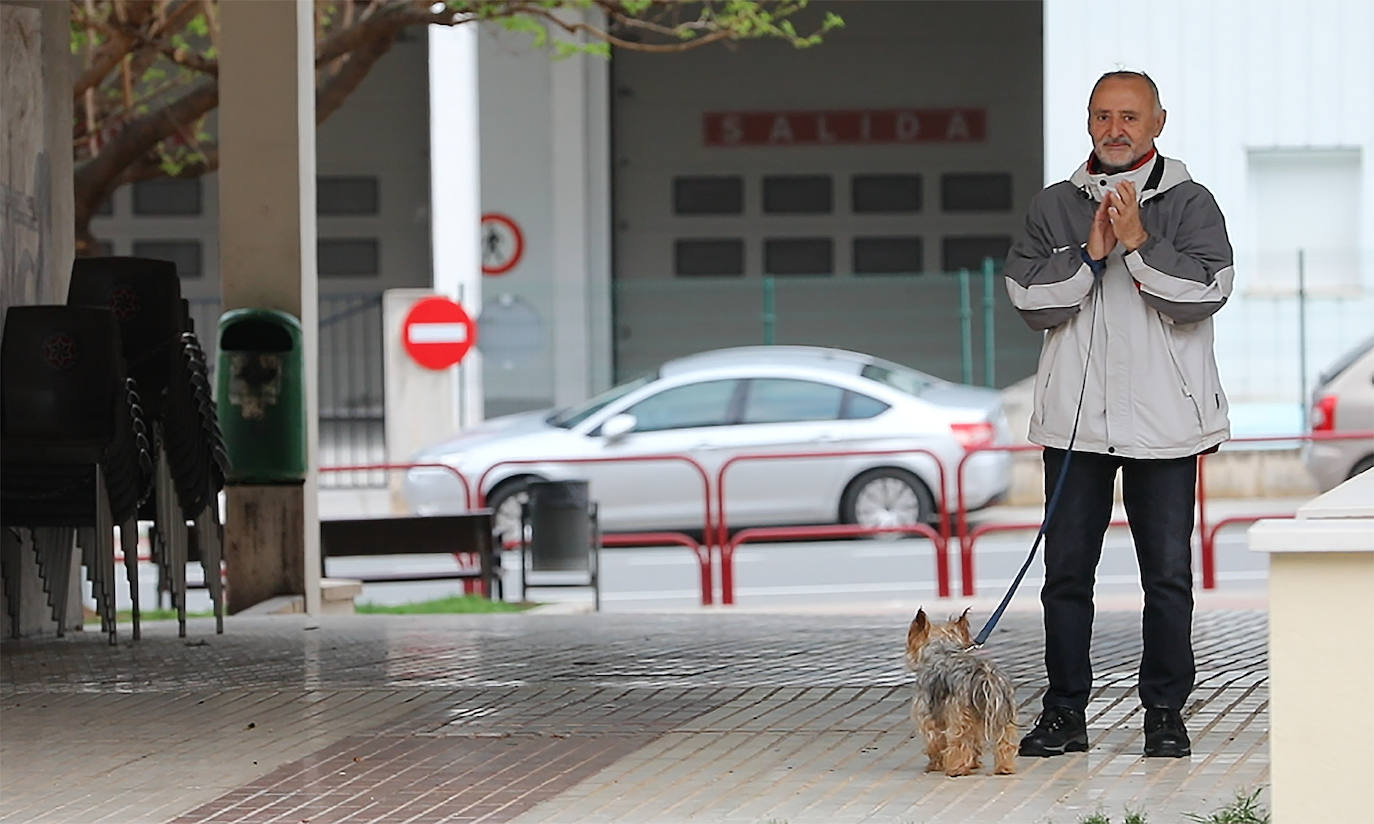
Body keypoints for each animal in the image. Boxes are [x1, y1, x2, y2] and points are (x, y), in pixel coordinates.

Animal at [906, 607, 1016, 774]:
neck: (941, 650)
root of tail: (984, 675)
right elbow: (975, 742)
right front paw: (974, 763)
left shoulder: (928, 717)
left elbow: (935, 742)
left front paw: (935, 764)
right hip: (1002, 713)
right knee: (1004, 741)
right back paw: (1005, 767)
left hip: (958, 716)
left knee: (959, 741)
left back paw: (957, 769)